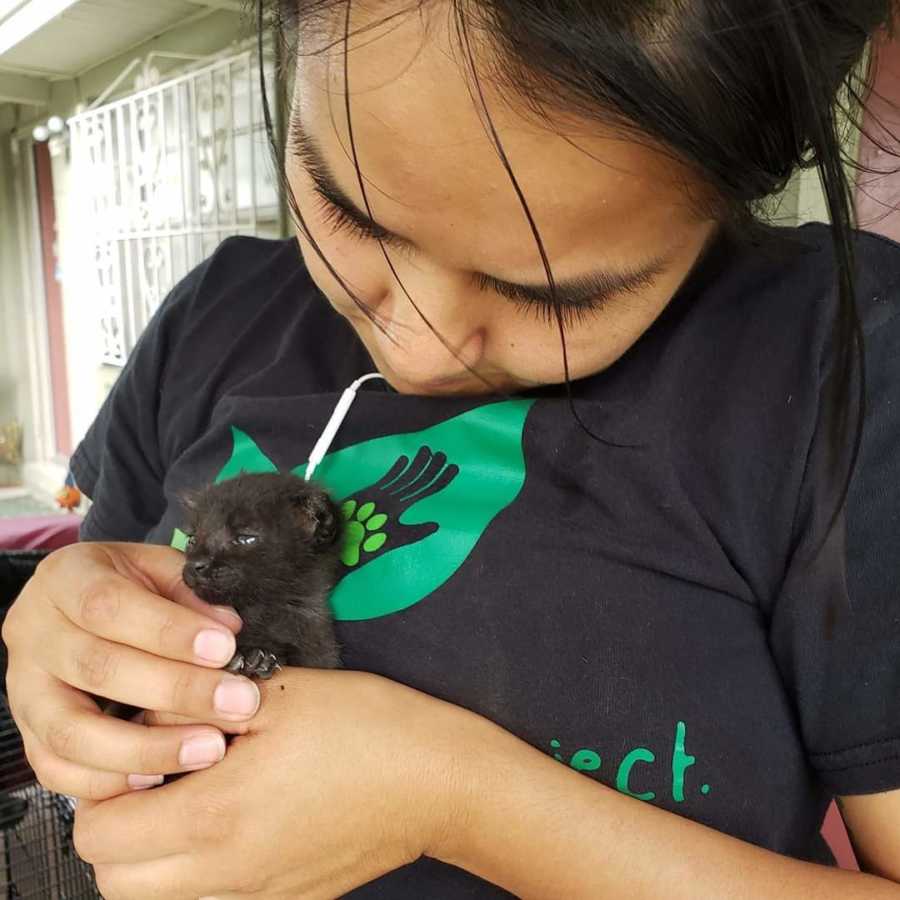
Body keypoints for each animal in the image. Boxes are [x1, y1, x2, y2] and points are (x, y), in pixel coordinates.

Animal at [181, 472, 342, 676]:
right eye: (192, 540)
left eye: (245, 538)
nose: (196, 564)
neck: (260, 611)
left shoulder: (319, 652)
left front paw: (257, 658)